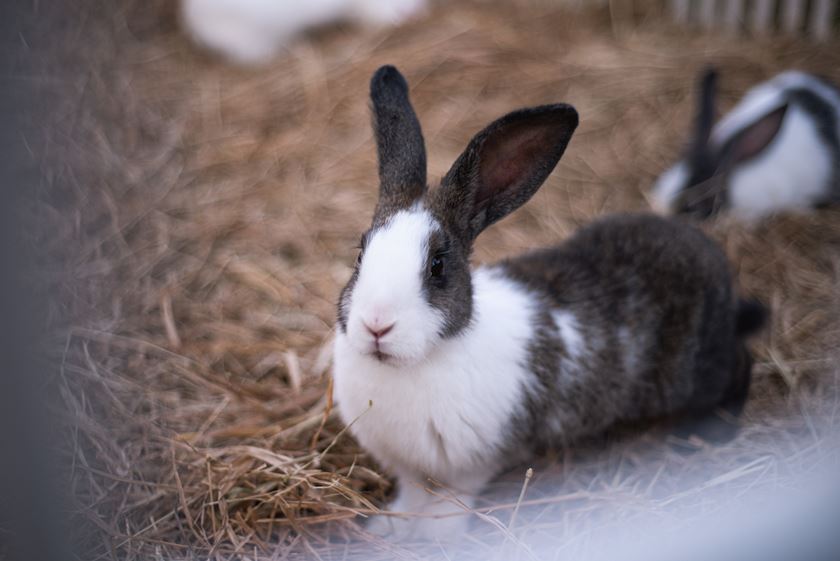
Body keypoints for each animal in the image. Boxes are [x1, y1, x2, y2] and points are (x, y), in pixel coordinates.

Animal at [332, 65, 764, 544]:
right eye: (360, 253)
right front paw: (389, 526)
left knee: (742, 364)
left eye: (438, 266)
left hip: (702, 370)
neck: (412, 363)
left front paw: (436, 539)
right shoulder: (409, 469)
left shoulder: (471, 466)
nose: (376, 325)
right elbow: (411, 496)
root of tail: (715, 263)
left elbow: (449, 504)